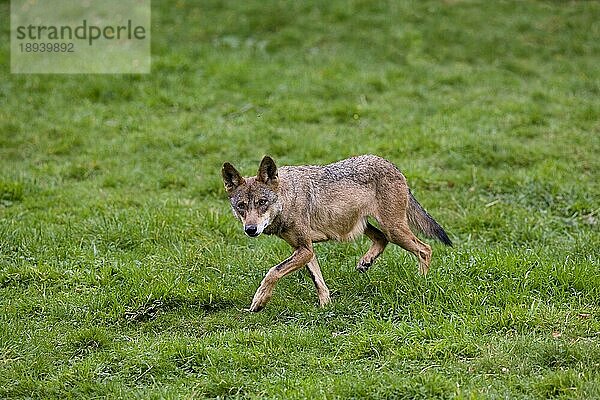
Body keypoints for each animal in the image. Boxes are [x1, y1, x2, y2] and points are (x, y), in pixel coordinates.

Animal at [223, 155, 452, 310]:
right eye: (241, 206)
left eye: (262, 202)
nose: (250, 230)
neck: (288, 197)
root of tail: (391, 165)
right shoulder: (304, 249)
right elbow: (318, 282)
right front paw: (326, 307)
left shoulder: (304, 249)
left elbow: (272, 272)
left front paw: (259, 301)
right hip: (366, 226)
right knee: (382, 239)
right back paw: (365, 262)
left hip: (394, 229)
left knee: (425, 249)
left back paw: (421, 282)